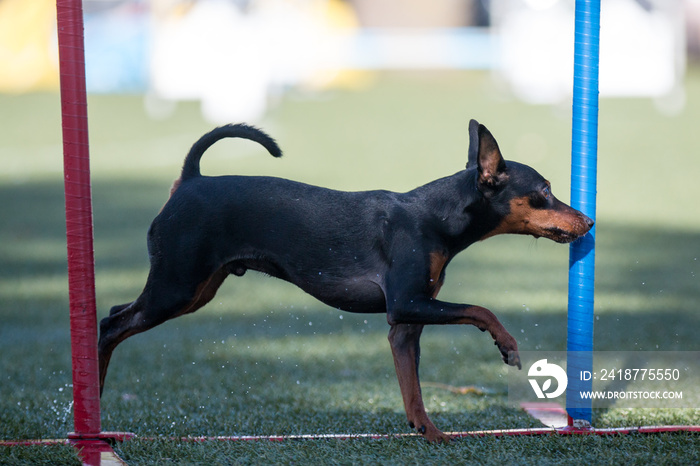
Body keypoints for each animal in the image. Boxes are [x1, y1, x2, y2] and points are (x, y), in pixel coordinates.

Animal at [98, 119, 592, 440]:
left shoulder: (405, 326)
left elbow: (413, 392)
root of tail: (189, 180)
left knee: (115, 316)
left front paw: (430, 435)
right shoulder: (408, 304)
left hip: (196, 290)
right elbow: (481, 309)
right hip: (175, 288)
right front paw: (506, 344)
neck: (435, 216)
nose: (588, 221)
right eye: (545, 191)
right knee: (110, 324)